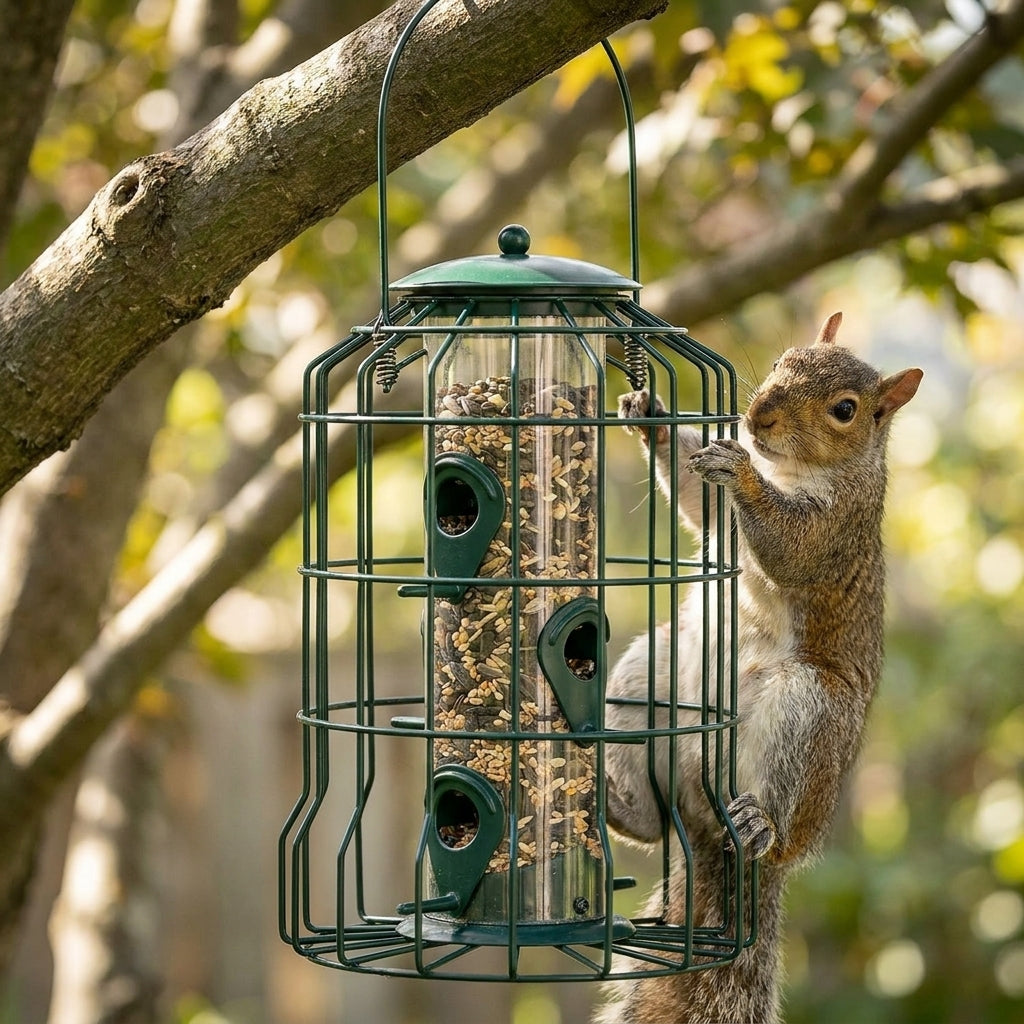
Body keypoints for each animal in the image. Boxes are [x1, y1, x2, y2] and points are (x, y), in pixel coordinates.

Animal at [596, 312, 922, 1024]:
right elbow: (697, 497)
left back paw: (758, 826)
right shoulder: (718, 517)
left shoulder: (834, 530)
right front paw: (650, 413)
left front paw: (741, 468)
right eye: (780, 360)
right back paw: (617, 799)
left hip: (811, 710)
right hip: (653, 668)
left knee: (771, 824)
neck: (793, 469)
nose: (758, 416)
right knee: (652, 822)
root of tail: (706, 823)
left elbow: (788, 545)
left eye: (845, 410)